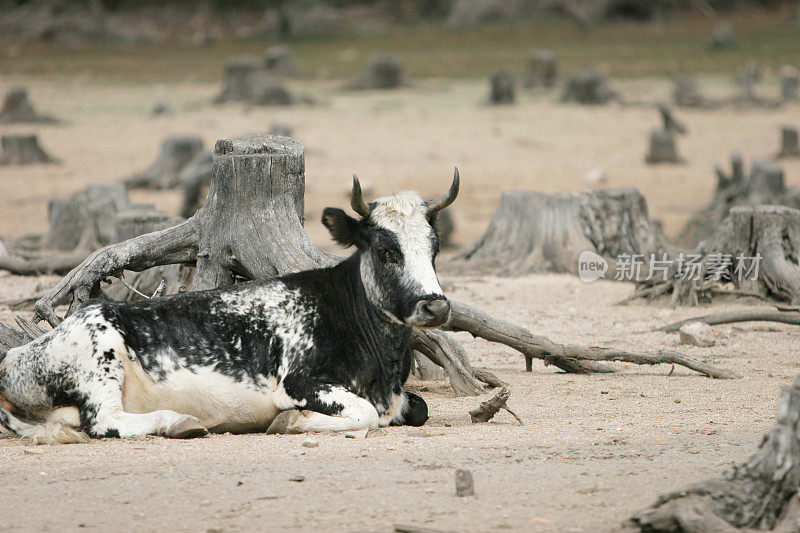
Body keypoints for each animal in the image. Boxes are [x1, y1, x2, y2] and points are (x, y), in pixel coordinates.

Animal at [0, 172, 460, 442]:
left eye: (434, 249)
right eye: (385, 250)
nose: (435, 308)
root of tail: (17, 355)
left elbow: (418, 408)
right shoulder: (300, 383)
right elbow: (362, 414)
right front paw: (289, 422)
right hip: (100, 363)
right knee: (106, 422)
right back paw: (179, 422)